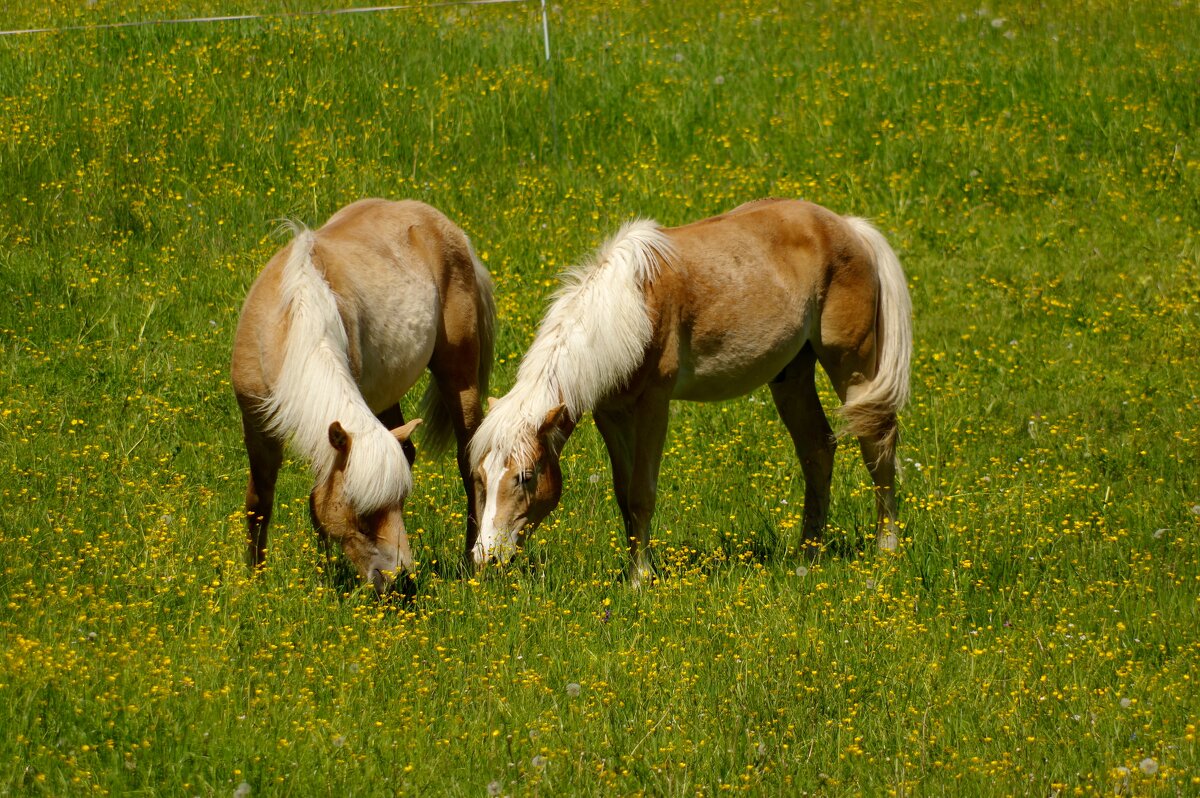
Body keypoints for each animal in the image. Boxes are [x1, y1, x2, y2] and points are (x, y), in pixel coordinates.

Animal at [231, 195, 494, 588]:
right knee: (408, 449)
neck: (292, 317)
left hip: (458, 377)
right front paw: (256, 578)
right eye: (362, 513)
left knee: (469, 460)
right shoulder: (257, 423)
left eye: (398, 503)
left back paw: (470, 558)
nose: (400, 580)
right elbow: (260, 501)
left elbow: (315, 502)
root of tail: (442, 224)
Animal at [468, 195, 907, 583]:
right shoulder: (610, 413)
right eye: (481, 476)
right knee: (817, 448)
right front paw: (634, 571)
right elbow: (624, 495)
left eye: (525, 476)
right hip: (792, 375)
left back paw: (886, 547)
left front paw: (640, 580)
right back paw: (808, 553)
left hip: (851, 365)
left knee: (877, 443)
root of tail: (849, 227)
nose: (486, 558)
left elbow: (642, 494)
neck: (631, 307)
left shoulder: (654, 405)